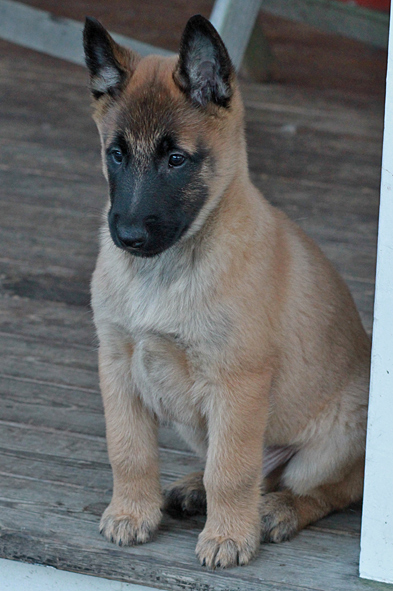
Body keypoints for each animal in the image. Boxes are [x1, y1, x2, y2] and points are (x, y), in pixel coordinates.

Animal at [83, 15, 370, 568]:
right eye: (116, 154)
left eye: (176, 159)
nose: (127, 236)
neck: (168, 270)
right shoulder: (117, 364)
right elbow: (128, 450)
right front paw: (132, 512)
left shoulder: (239, 382)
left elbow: (231, 471)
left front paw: (228, 537)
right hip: (197, 423)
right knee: (258, 470)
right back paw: (194, 489)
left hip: (338, 437)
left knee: (326, 490)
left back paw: (277, 511)